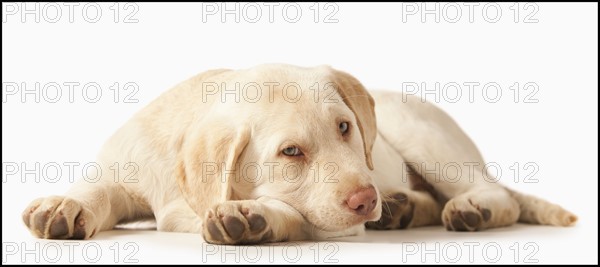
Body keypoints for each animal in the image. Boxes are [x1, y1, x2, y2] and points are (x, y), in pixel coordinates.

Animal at [23, 64, 576, 245]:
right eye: (291, 152)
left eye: (345, 128)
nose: (366, 201)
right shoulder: (127, 164)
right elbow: (97, 186)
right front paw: (64, 205)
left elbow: (294, 211)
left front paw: (253, 215)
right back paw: (402, 208)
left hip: (420, 136)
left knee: (495, 194)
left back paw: (469, 208)